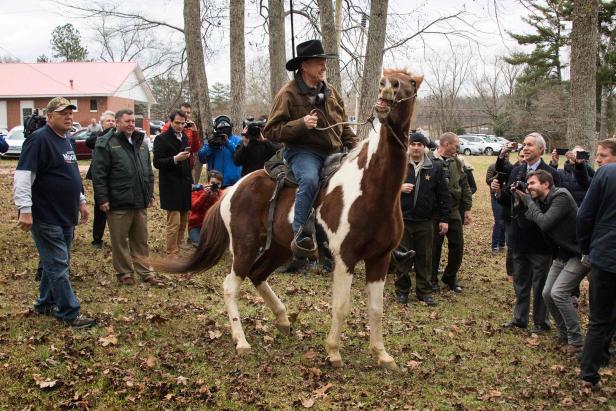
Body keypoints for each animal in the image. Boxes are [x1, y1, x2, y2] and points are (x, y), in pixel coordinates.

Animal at [156, 68, 422, 370]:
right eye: (387, 79)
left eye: (412, 83)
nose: (387, 86)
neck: (371, 188)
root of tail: (230, 191)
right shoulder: (346, 257)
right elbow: (341, 306)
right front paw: (333, 351)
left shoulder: (380, 258)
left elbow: (376, 309)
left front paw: (382, 354)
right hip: (245, 246)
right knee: (230, 286)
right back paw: (241, 340)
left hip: (279, 248)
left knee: (257, 275)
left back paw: (283, 319)